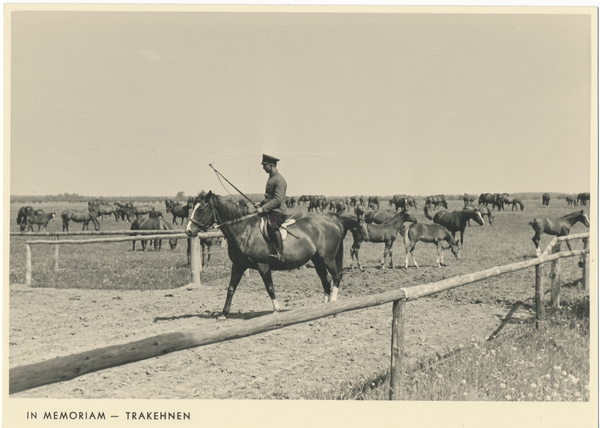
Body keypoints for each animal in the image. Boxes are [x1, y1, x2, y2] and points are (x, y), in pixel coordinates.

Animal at [185, 191, 350, 318]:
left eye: (201, 209)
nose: (188, 231)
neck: (245, 231)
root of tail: (332, 221)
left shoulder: (263, 265)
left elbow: (269, 287)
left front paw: (276, 310)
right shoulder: (238, 265)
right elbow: (231, 288)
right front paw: (224, 314)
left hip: (328, 259)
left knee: (336, 276)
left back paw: (333, 306)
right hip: (318, 261)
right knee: (325, 280)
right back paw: (325, 308)